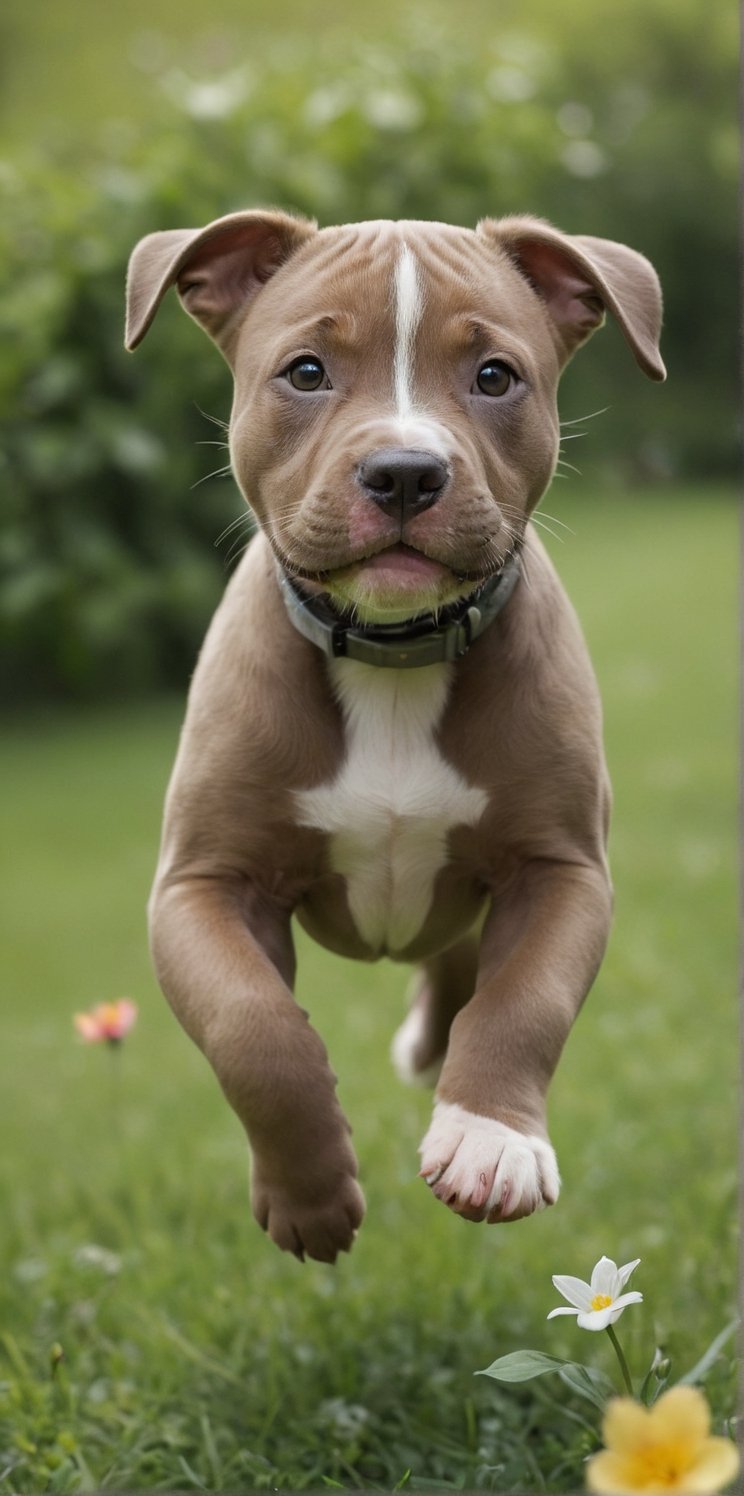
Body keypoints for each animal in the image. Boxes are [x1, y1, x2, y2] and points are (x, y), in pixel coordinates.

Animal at [124, 210, 664, 1262]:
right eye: (304, 372)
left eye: (495, 376)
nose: (407, 473)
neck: (392, 656)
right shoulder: (202, 884)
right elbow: (255, 1028)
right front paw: (310, 1195)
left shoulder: (561, 869)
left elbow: (523, 1000)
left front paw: (491, 1141)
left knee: (458, 969)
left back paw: (432, 1054)